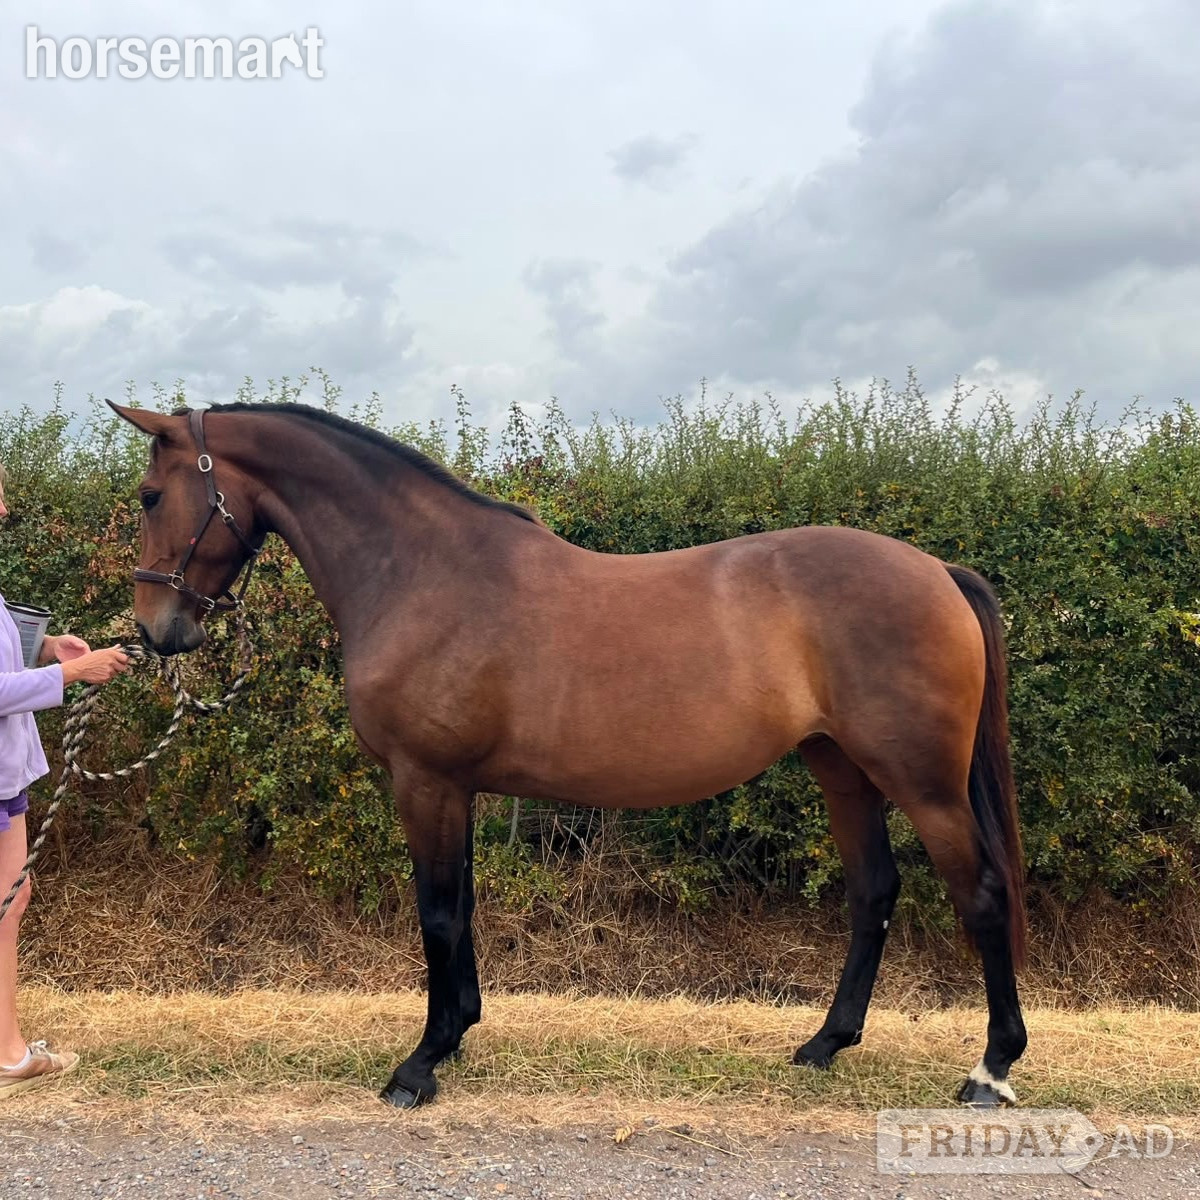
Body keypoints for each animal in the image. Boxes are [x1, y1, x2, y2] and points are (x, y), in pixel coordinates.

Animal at [107, 399, 1028, 1110]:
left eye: (151, 495)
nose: (156, 631)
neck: (421, 571)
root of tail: (937, 571)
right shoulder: (458, 787)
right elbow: (462, 909)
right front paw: (458, 1036)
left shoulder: (425, 781)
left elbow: (437, 913)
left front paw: (418, 1067)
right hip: (841, 769)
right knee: (873, 892)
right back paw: (824, 1045)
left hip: (923, 783)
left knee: (980, 896)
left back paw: (989, 1070)